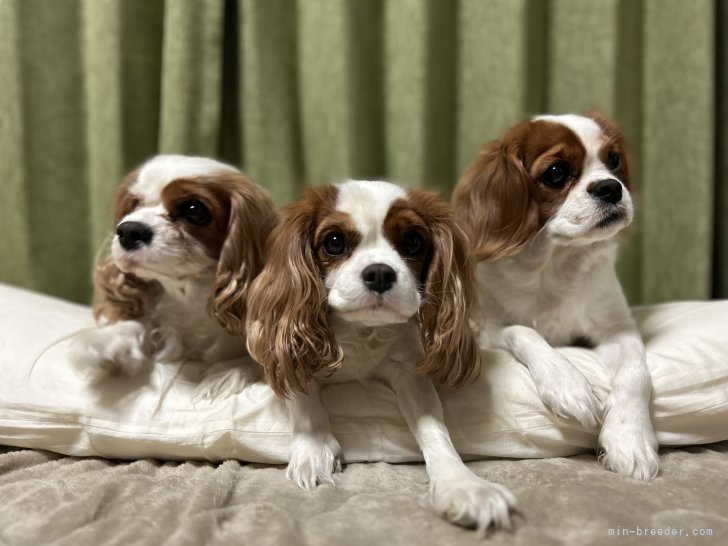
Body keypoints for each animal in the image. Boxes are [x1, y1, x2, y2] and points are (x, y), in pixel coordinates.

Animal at [73, 155, 276, 398]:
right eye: (134, 204)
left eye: (194, 210)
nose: (130, 230)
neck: (188, 293)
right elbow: (139, 325)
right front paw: (108, 340)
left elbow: (259, 361)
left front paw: (226, 373)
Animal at [245, 179, 516, 532]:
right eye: (334, 242)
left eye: (413, 242)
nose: (379, 273)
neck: (362, 330)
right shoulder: (286, 351)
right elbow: (302, 395)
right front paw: (312, 451)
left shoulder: (409, 369)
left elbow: (432, 427)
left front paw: (463, 484)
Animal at [452, 113, 659, 480]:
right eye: (556, 172)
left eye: (613, 160)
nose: (610, 187)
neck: (555, 261)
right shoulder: (486, 328)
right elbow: (523, 331)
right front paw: (568, 384)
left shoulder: (616, 328)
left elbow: (637, 373)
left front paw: (629, 439)